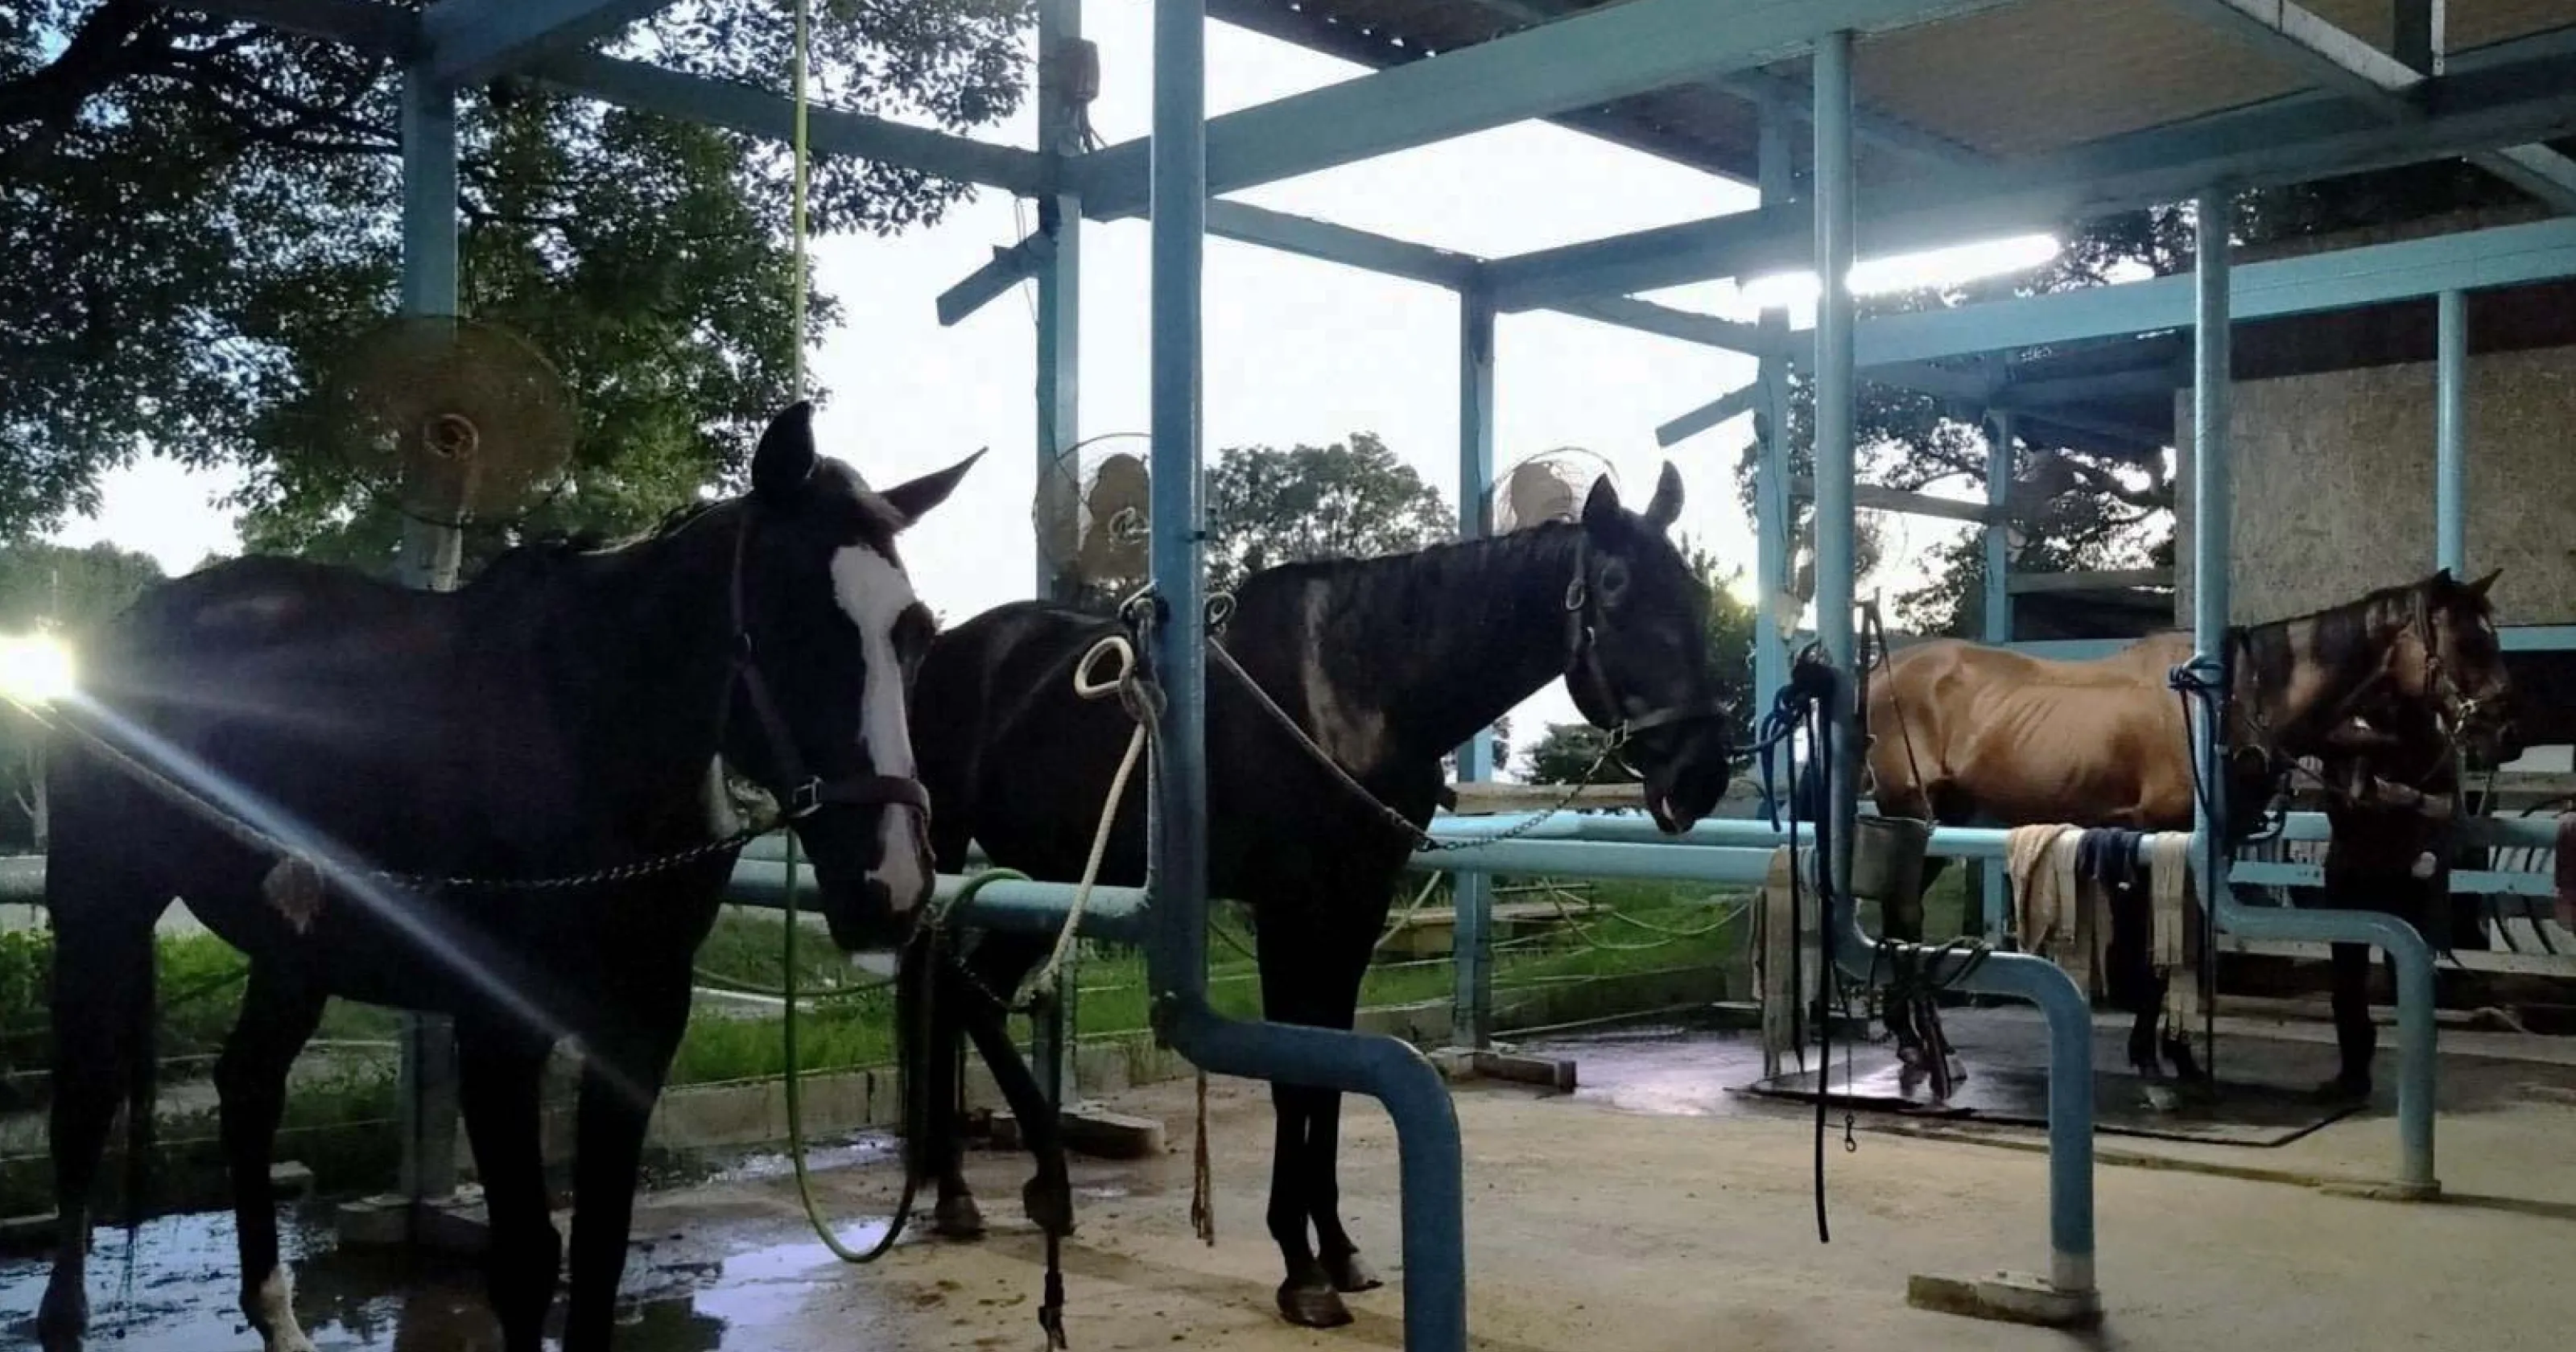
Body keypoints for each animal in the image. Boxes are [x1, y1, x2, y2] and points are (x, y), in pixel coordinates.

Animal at [34, 403, 982, 1352]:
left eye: (918, 635)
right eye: (792, 625)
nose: (891, 887)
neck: (584, 739)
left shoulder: (644, 1020)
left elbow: (599, 1253)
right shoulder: (499, 1026)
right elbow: (528, 1260)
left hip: (294, 939)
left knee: (248, 1087)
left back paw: (277, 1316)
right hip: (101, 904)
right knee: (84, 1102)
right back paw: (65, 1317)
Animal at [905, 466, 1740, 1330]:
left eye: (1693, 592)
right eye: (1614, 591)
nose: (1700, 775)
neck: (1353, 687)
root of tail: (951, 648)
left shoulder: (1355, 909)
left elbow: (1332, 1072)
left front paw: (1336, 1250)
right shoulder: (1289, 910)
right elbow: (1296, 1078)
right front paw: (1300, 1270)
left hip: (1051, 876)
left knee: (970, 994)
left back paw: (1039, 1186)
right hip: (949, 854)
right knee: (940, 987)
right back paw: (959, 1193)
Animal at [1862, 568, 2517, 1089]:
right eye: (2467, 641)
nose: (2506, 734)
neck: (2223, 708)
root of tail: (1881, 672)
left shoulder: (2208, 850)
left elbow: (2192, 946)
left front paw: (2175, 1054)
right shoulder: (2167, 839)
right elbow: (2164, 948)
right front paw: (2159, 1056)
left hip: (1940, 824)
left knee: (1900, 916)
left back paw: (1914, 1042)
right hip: (1914, 816)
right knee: (1905, 918)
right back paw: (1928, 1045)